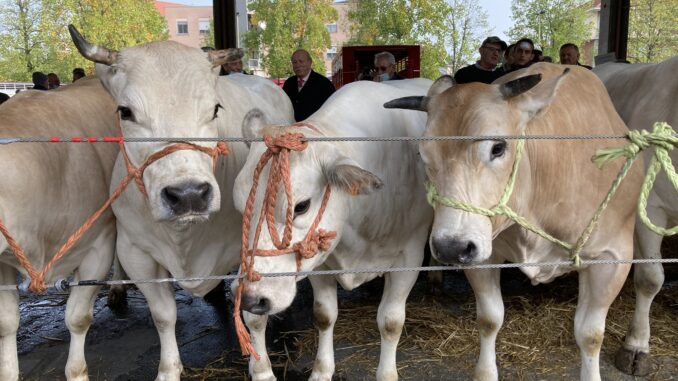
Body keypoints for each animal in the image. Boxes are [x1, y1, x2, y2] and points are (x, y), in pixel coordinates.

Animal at [67, 25, 294, 378]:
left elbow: (253, 315)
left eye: (215, 109)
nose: (188, 194)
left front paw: (262, 369)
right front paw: (168, 370)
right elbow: (163, 315)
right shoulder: (136, 252)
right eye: (125, 111)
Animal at [231, 78, 432, 380]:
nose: (252, 298)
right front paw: (322, 371)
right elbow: (324, 316)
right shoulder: (321, 263)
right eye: (239, 203)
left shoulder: (409, 255)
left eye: (301, 206)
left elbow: (391, 322)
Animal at [386, 63, 644, 380]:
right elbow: (489, 319)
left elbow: (591, 335)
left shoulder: (613, 257)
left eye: (498, 147)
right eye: (422, 154)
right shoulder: (483, 254)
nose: (450, 247)